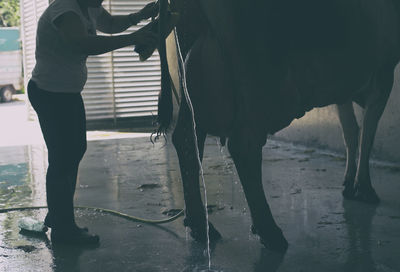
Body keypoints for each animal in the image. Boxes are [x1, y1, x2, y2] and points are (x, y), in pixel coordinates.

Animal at [147, 0, 400, 253]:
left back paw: (200, 224)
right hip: (256, 77)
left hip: (193, 76)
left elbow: (351, 132)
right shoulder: (383, 71)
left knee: (188, 139)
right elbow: (368, 133)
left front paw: (349, 184)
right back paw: (269, 232)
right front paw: (364, 188)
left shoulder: (344, 88)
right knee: (243, 145)